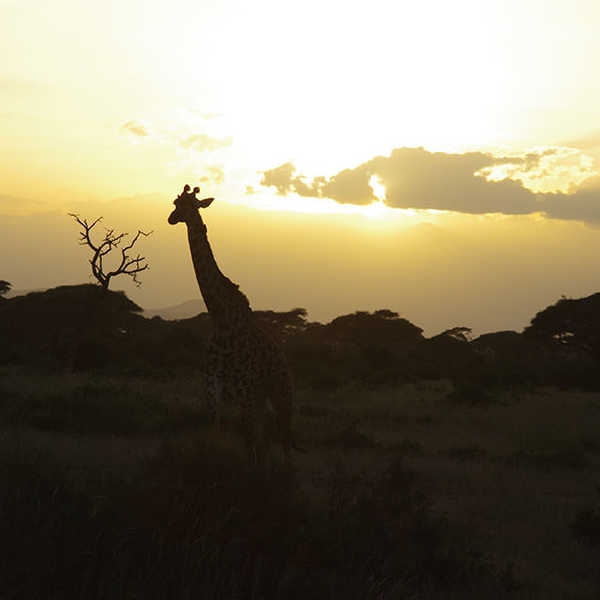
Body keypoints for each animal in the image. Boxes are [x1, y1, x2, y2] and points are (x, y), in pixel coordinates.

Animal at [166, 185, 298, 466]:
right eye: (175, 203)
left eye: (187, 205)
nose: (171, 218)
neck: (220, 317)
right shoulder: (213, 388)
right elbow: (216, 431)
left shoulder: (245, 391)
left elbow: (250, 443)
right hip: (260, 399)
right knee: (266, 438)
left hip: (281, 396)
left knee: (282, 441)